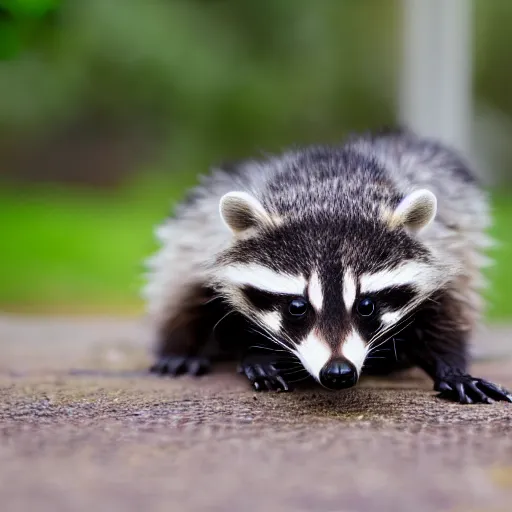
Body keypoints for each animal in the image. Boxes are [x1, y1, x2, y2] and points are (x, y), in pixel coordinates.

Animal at [143, 128, 512, 404]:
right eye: (297, 306)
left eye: (366, 305)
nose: (338, 372)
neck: (330, 189)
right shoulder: (209, 239)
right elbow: (199, 296)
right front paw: (258, 354)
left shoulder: (449, 241)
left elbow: (448, 309)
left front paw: (451, 368)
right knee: (180, 290)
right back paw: (182, 349)